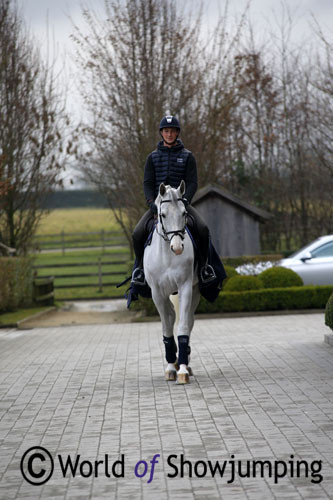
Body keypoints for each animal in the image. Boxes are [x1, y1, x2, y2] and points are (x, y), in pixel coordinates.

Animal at [143, 182, 200, 384]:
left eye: (184, 213)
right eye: (163, 214)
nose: (177, 248)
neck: (167, 256)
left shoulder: (185, 288)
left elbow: (182, 327)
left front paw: (182, 370)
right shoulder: (157, 294)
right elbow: (167, 328)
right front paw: (170, 367)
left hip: (194, 291)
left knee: (188, 321)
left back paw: (185, 363)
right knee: (171, 316)